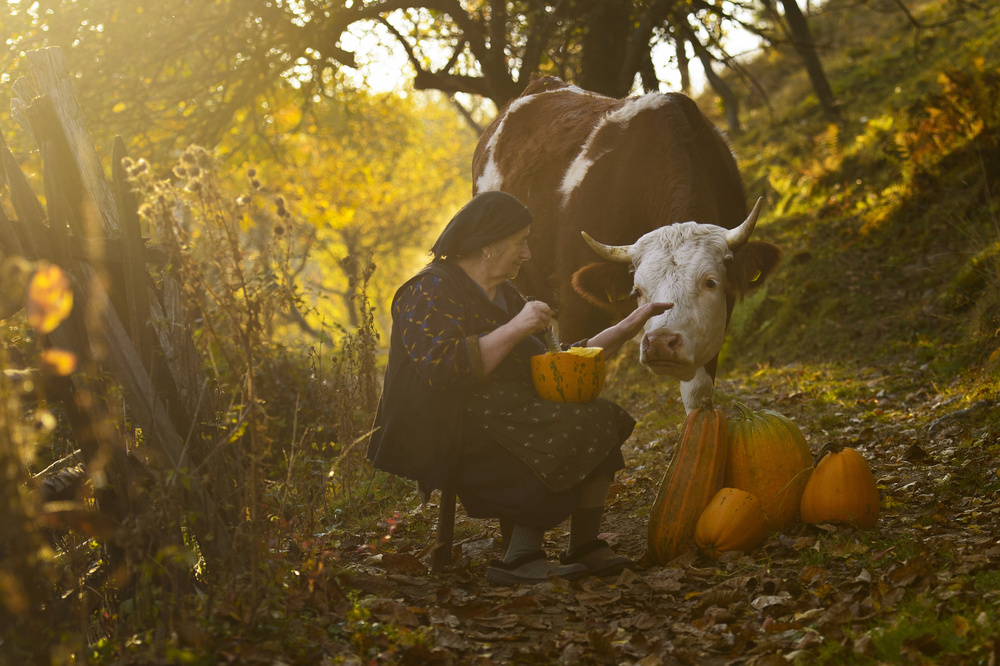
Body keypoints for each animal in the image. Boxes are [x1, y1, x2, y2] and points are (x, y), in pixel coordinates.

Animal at [472, 76, 784, 410]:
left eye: (710, 282)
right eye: (638, 290)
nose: (661, 343)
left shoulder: (714, 324)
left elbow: (698, 396)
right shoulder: (577, 310)